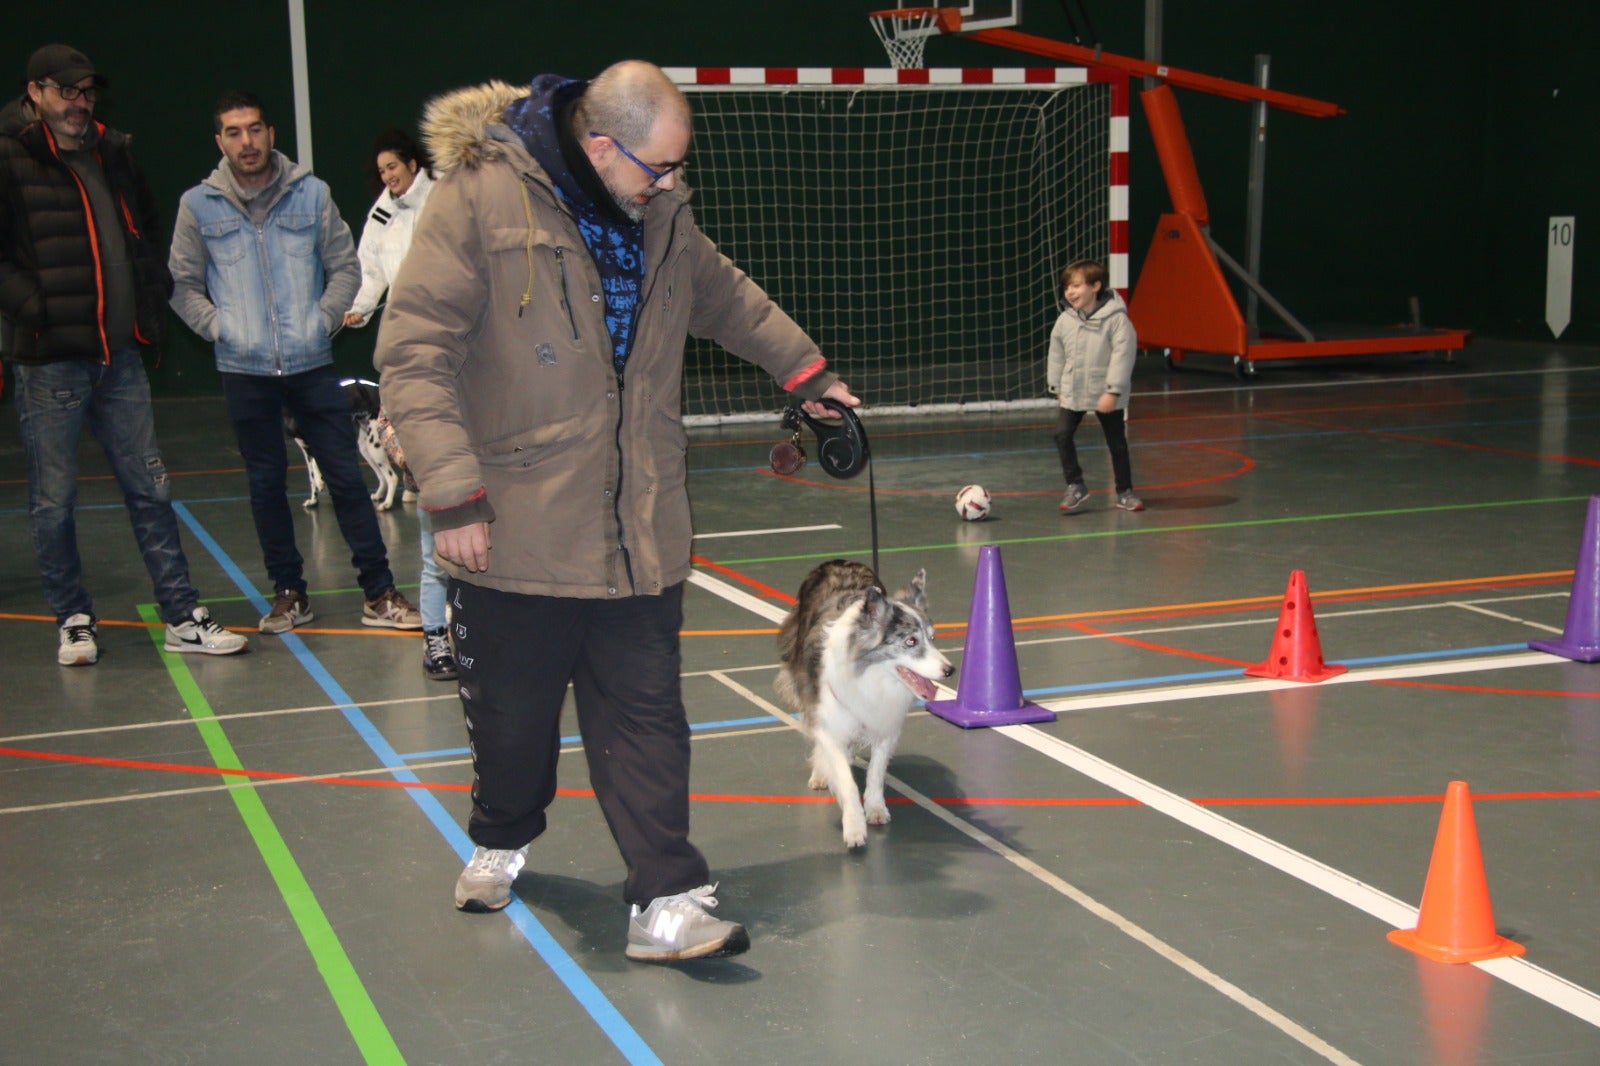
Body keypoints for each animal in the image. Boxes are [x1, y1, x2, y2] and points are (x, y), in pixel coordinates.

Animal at [284, 372, 416, 512]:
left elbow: (315, 470)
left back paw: (387, 503)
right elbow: (311, 477)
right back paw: (379, 495)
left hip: (374, 447)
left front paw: (319, 483)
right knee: (382, 477)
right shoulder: (306, 449)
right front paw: (313, 500)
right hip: (366, 449)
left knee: (391, 477)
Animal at [774, 557, 947, 845]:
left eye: (932, 639)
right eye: (911, 641)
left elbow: (876, 774)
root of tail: (839, 561)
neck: (872, 677)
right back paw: (821, 773)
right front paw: (854, 825)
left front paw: (876, 809)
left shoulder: (885, 725)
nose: (949, 670)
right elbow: (845, 779)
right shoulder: (830, 726)